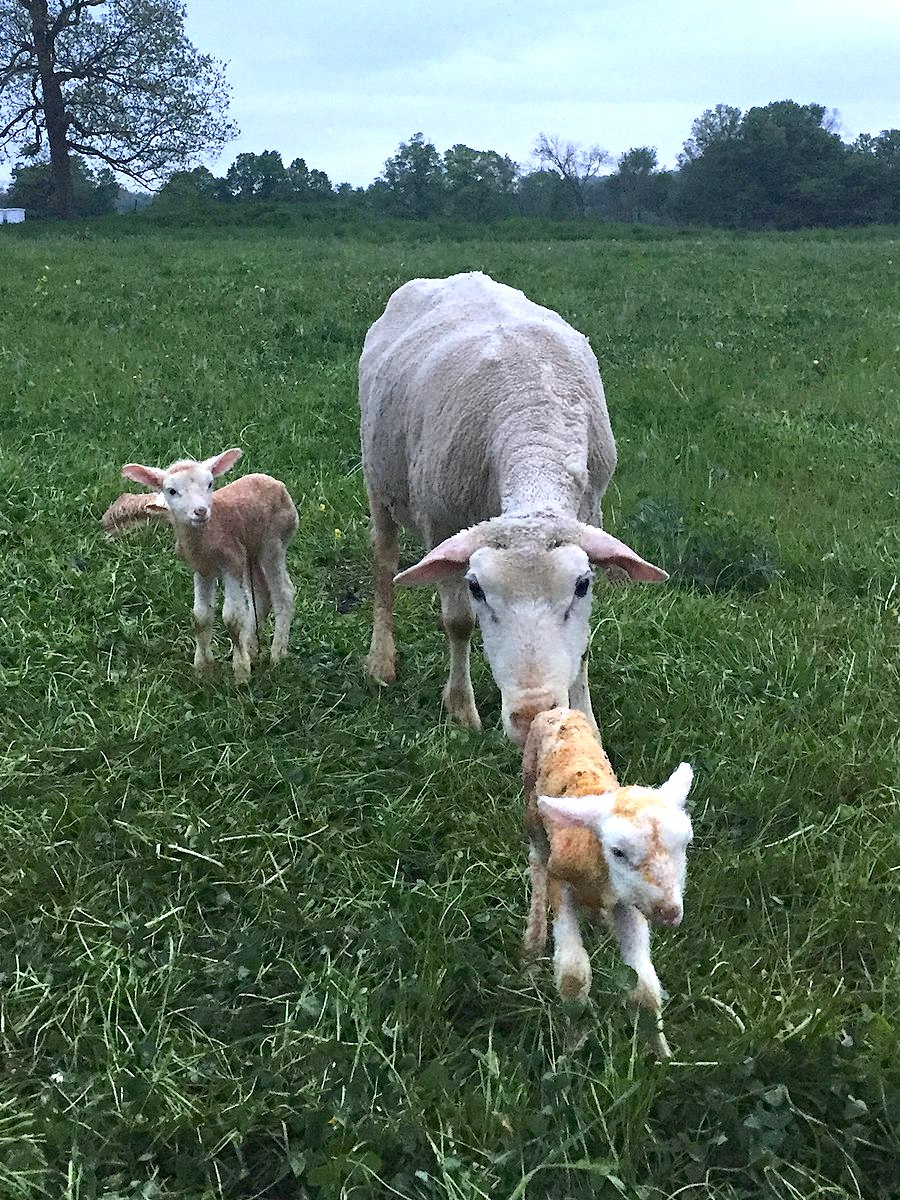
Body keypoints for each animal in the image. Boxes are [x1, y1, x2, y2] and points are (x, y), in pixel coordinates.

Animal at [101, 449, 297, 680]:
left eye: (210, 484)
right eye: (171, 491)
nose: (200, 511)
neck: (208, 534)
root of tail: (276, 483)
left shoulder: (231, 561)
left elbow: (232, 617)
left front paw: (241, 673)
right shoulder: (203, 569)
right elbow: (200, 616)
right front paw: (203, 667)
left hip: (273, 540)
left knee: (283, 592)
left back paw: (277, 655)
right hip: (250, 550)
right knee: (261, 593)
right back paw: (251, 647)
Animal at [359, 270, 667, 746]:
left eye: (582, 585)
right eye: (477, 588)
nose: (531, 716)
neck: (533, 419)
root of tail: (457, 275)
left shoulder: (589, 513)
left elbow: (582, 643)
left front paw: (586, 720)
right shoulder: (441, 524)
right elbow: (457, 622)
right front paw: (461, 710)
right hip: (378, 480)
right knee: (384, 564)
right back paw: (381, 662)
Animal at [522, 708, 694, 1058]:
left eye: (685, 845)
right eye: (617, 852)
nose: (669, 912)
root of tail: (557, 710)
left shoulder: (629, 906)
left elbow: (643, 987)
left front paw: (662, 1056)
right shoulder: (562, 884)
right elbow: (573, 976)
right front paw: (572, 1047)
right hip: (533, 807)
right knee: (536, 861)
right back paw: (533, 941)